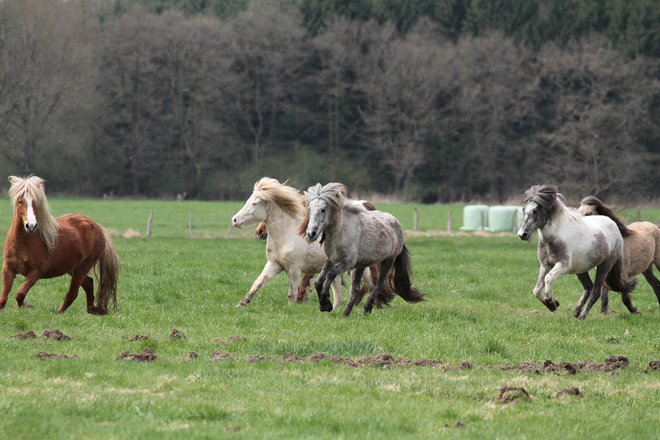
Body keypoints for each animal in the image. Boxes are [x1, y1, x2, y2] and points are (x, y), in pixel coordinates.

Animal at [1, 174, 119, 312]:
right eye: (20, 201)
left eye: (36, 202)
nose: (31, 225)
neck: (22, 243)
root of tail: (97, 227)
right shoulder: (8, 269)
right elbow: (3, 298)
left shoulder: (36, 272)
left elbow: (20, 294)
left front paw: (26, 307)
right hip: (73, 268)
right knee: (88, 284)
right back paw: (92, 312)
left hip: (82, 268)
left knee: (72, 293)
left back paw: (60, 312)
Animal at [520, 183, 636, 320]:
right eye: (523, 210)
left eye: (535, 210)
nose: (522, 234)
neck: (553, 238)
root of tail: (613, 224)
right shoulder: (545, 266)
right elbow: (537, 290)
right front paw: (553, 304)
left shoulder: (563, 265)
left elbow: (548, 279)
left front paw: (551, 302)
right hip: (581, 269)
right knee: (588, 287)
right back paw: (576, 311)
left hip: (604, 266)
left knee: (596, 291)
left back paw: (582, 316)